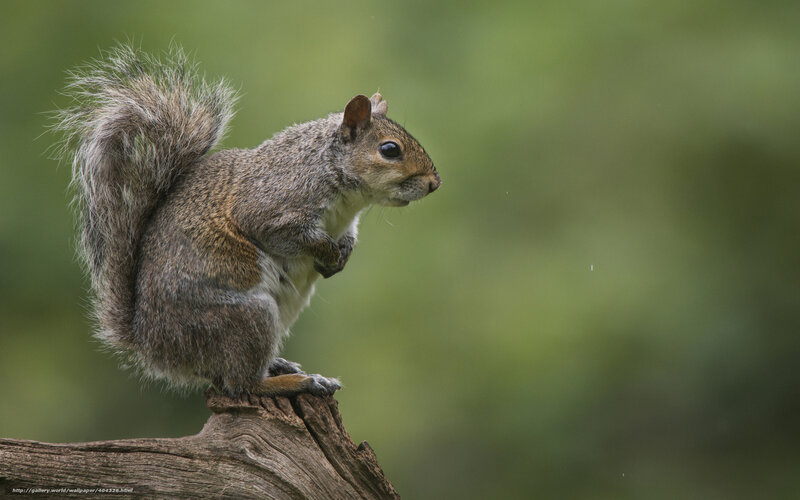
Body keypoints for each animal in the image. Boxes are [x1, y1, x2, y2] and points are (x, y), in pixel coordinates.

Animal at [53, 44, 440, 397]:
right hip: (245, 317)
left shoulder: (346, 222)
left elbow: (348, 238)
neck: (345, 195)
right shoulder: (272, 205)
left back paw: (281, 365)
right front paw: (328, 252)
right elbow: (290, 235)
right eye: (389, 150)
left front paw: (341, 255)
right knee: (242, 385)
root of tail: (156, 348)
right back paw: (296, 382)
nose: (434, 183)